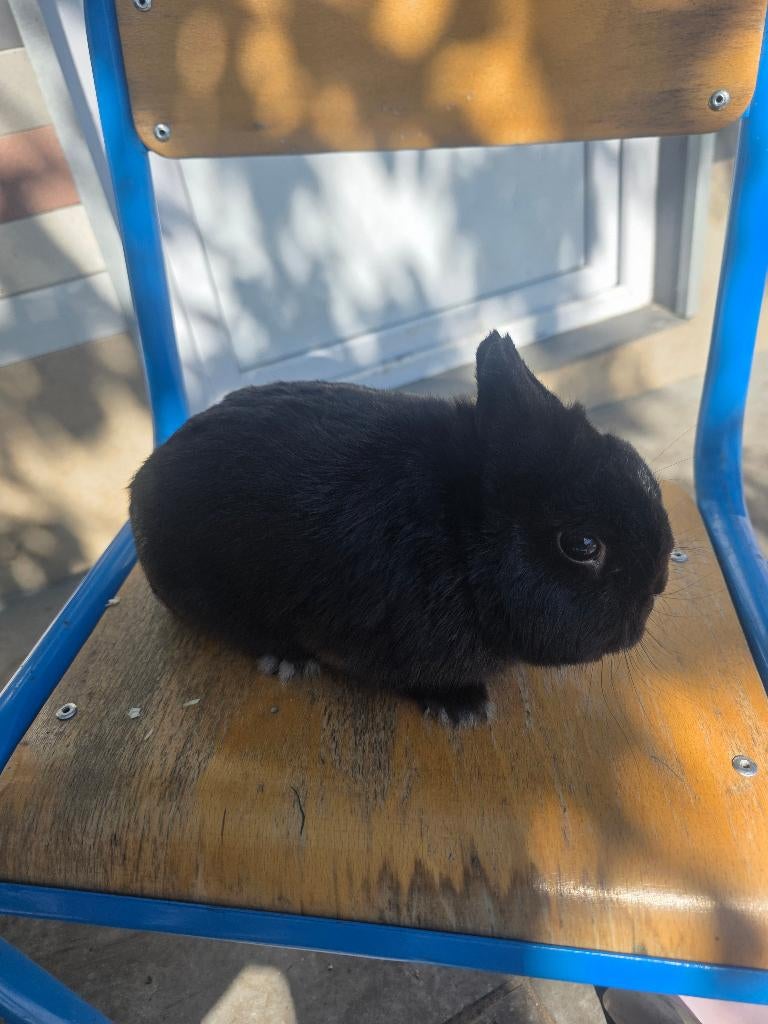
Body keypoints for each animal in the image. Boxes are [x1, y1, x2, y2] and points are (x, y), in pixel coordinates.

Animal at [129, 331, 673, 726]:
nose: (657, 584)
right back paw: (288, 660)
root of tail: (145, 480)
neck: (461, 538)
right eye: (581, 545)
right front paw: (463, 709)